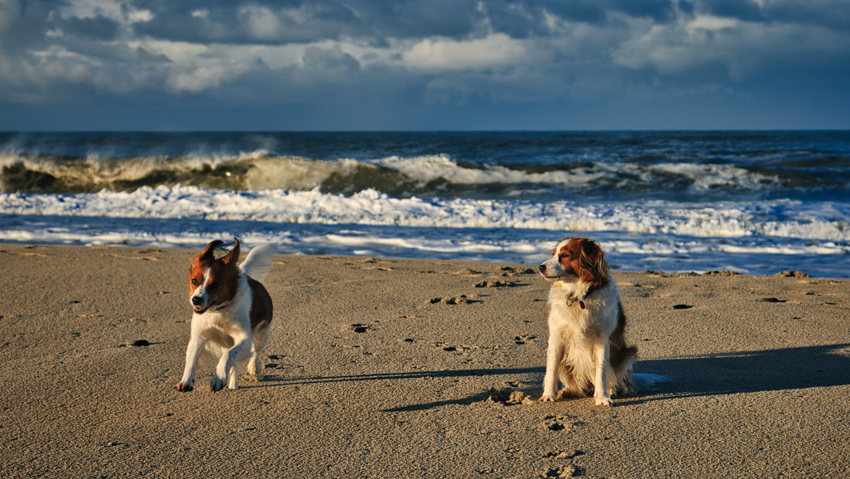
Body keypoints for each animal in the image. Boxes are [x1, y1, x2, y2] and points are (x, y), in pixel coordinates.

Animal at [174, 240, 274, 394]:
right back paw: (233, 385)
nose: (196, 300)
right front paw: (186, 381)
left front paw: (219, 377)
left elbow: (229, 355)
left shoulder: (244, 338)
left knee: (256, 350)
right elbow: (191, 358)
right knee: (234, 363)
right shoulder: (199, 336)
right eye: (194, 281)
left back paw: (252, 368)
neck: (218, 311)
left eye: (215, 284)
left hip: (262, 335)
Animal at [536, 238, 664, 406]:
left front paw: (602, 397)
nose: (540, 267)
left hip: (627, 354)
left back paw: (612, 391)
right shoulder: (557, 336)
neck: (580, 297)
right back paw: (568, 390)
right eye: (553, 254)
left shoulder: (602, 338)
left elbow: (601, 370)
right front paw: (548, 395)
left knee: (620, 382)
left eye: (565, 255)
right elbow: (551, 369)